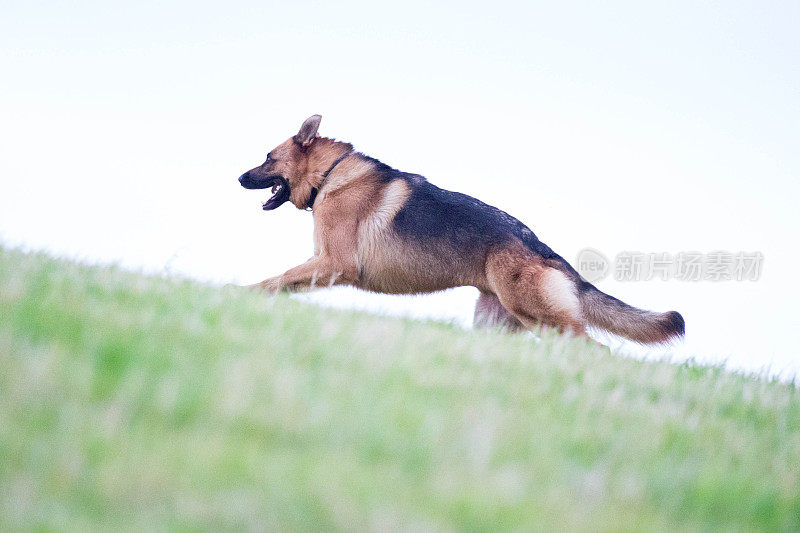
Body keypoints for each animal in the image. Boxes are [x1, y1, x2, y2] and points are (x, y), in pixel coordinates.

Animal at [236, 114, 680, 342]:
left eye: (268, 157)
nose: (238, 178)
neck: (330, 173)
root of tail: (545, 250)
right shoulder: (324, 264)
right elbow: (283, 283)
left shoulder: (333, 263)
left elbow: (277, 278)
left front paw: (236, 293)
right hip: (497, 324)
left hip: (539, 315)